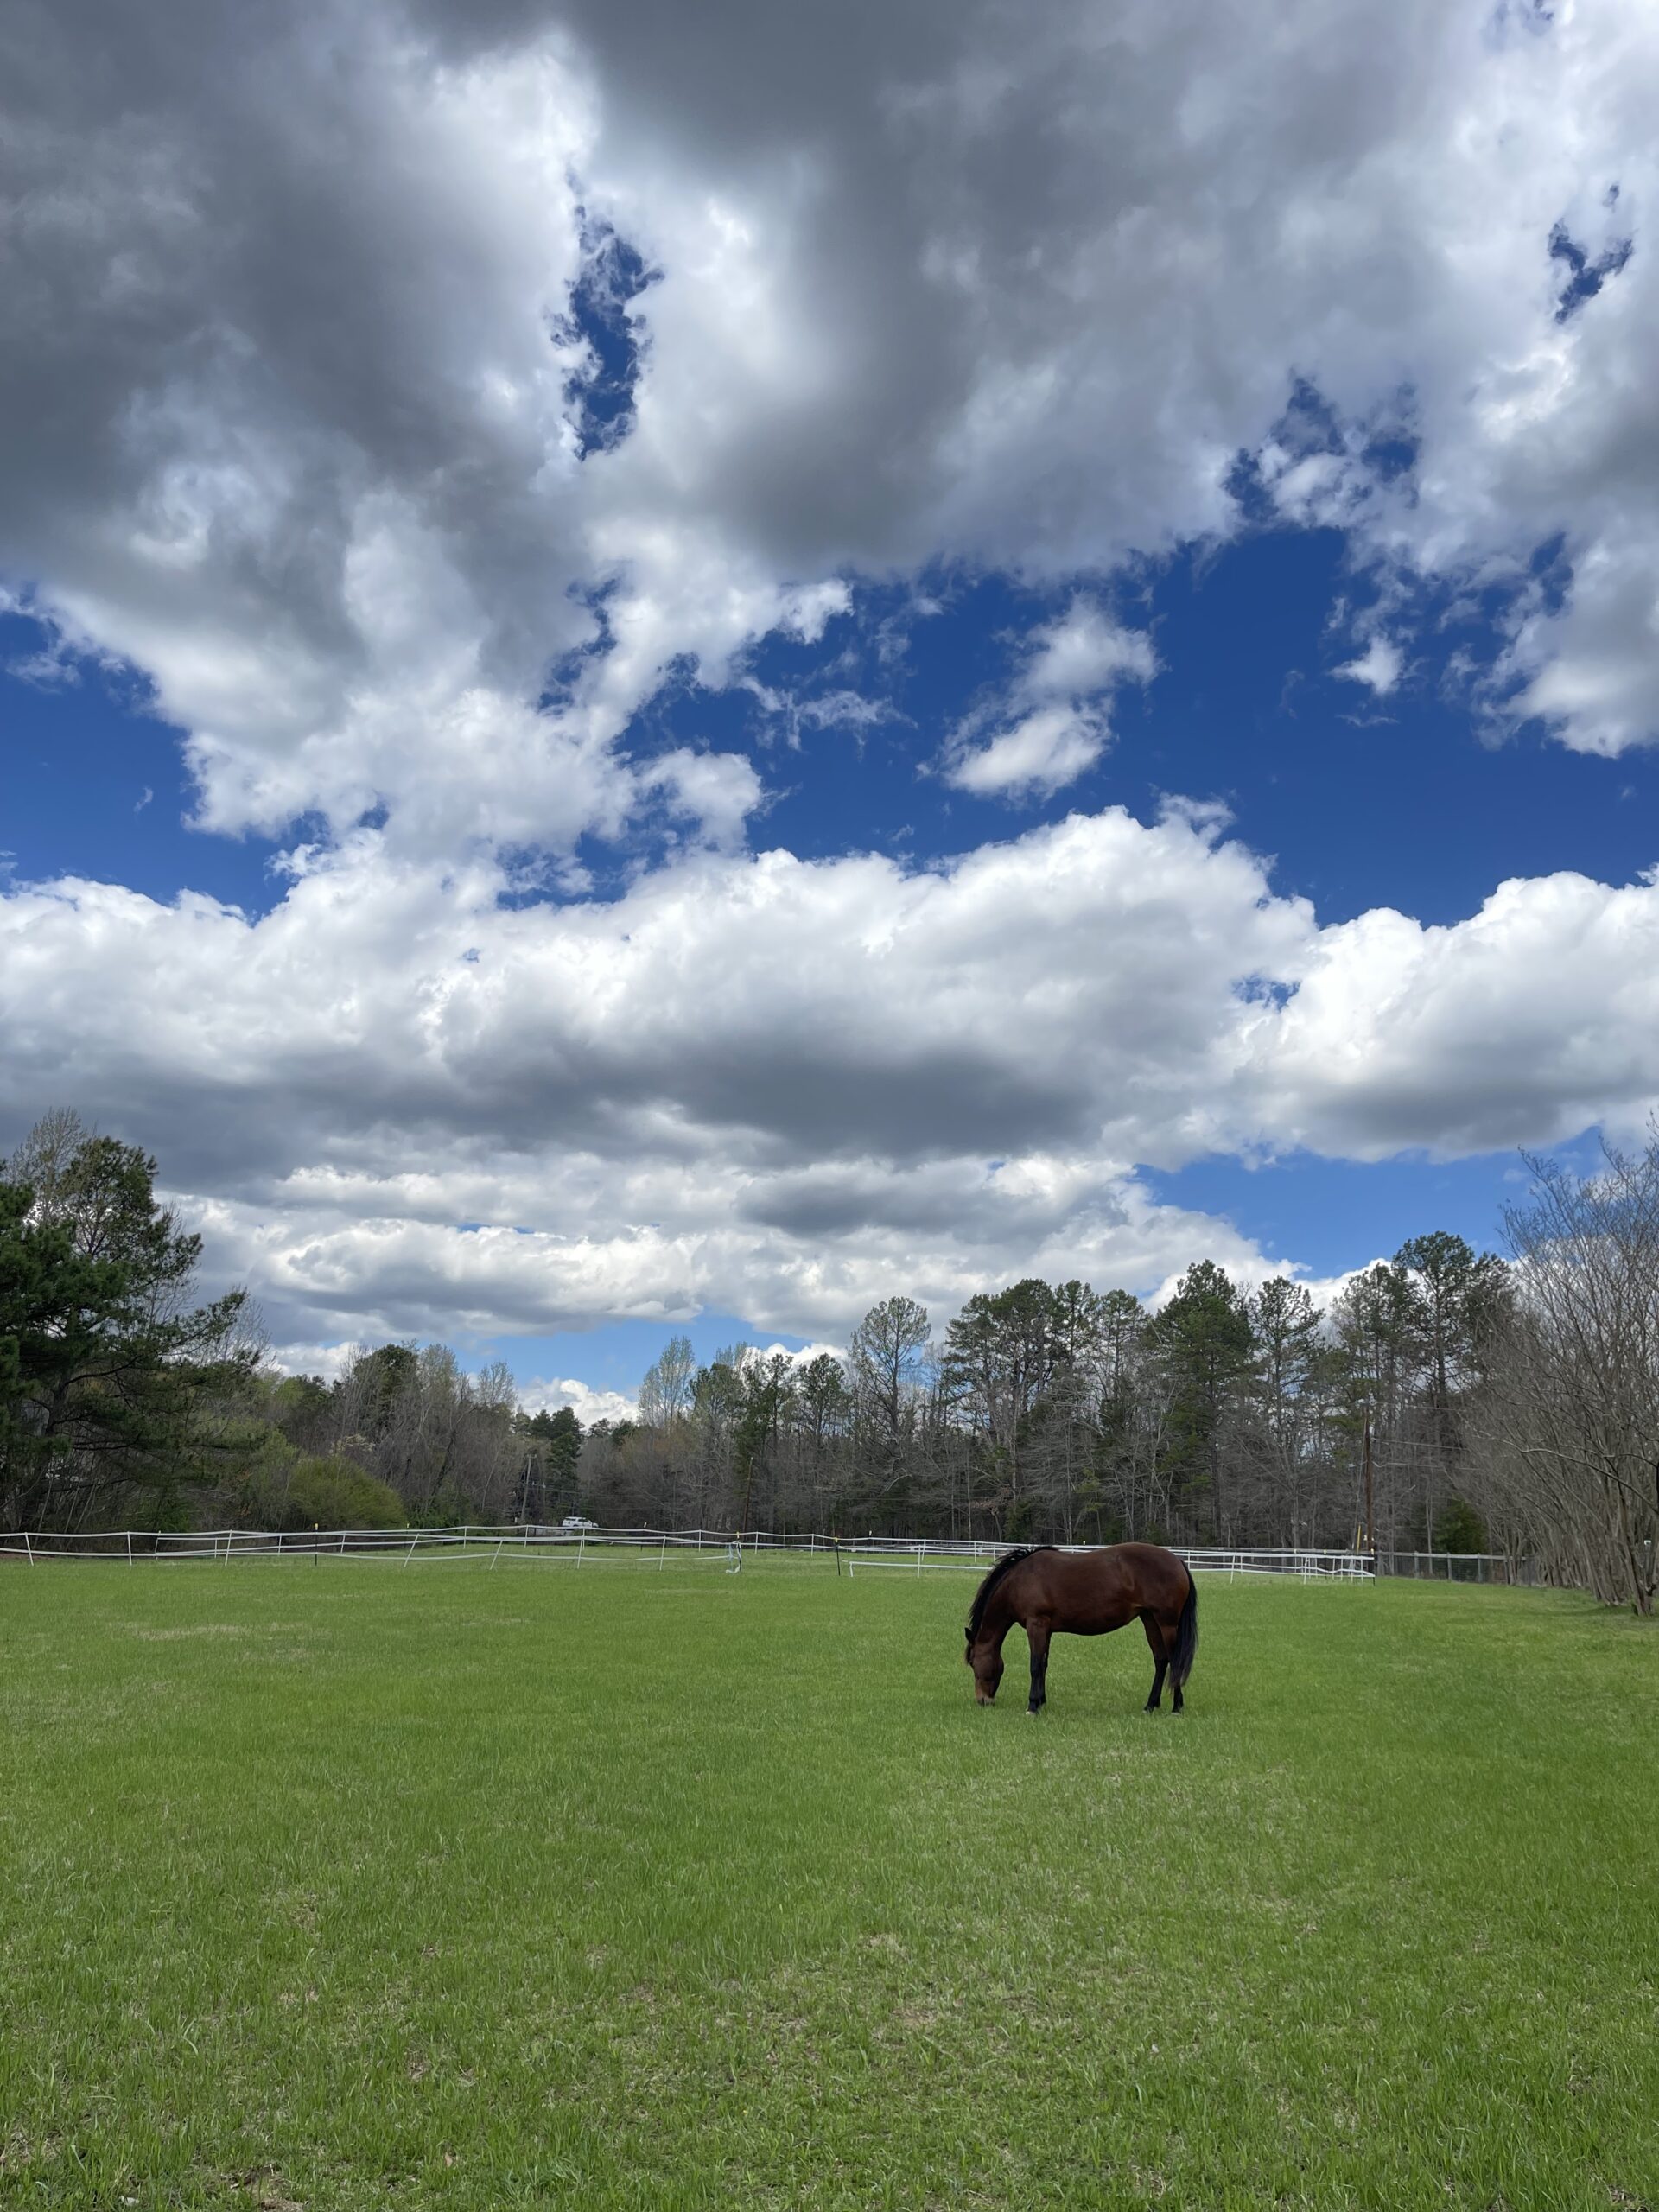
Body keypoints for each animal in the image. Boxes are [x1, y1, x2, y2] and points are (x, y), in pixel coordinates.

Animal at [969, 1548, 1203, 1716]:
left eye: (972, 1663)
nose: (982, 1700)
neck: (1021, 1579)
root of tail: (1177, 1561)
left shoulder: (1036, 1625)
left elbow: (1035, 1666)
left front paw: (1032, 1706)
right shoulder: (1046, 1630)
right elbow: (1043, 1664)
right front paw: (1042, 1701)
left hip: (1166, 1623)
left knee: (1175, 1660)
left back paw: (1176, 1707)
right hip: (1150, 1620)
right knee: (1161, 1661)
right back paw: (1150, 1706)